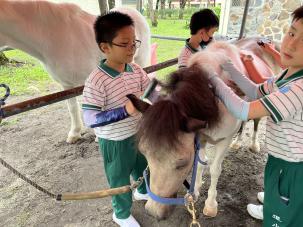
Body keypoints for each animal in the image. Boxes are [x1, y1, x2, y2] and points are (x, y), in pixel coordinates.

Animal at [0, 0, 152, 143]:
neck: (51, 36)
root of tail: (135, 12)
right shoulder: (66, 84)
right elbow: (72, 108)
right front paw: (75, 133)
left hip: (141, 59)